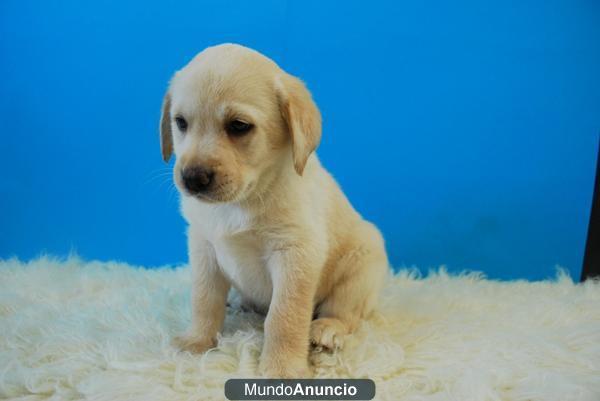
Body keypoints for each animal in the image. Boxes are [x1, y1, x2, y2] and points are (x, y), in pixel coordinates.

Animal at [159, 44, 386, 378]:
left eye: (238, 126)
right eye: (181, 123)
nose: (192, 178)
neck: (241, 201)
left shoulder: (296, 253)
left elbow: (284, 316)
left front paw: (282, 368)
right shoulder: (203, 247)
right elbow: (203, 299)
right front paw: (197, 341)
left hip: (363, 265)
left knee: (346, 314)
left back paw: (326, 330)